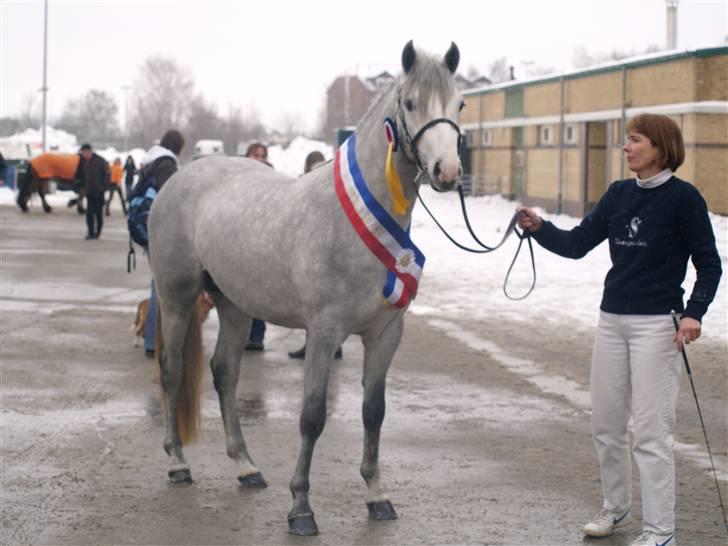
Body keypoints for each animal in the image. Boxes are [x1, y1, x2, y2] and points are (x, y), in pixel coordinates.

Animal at [149, 40, 464, 532]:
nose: (446, 171)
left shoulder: (385, 334)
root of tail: (179, 178)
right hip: (177, 297)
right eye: (411, 103)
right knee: (172, 370)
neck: (358, 218)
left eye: (460, 105)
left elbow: (374, 412)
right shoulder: (323, 332)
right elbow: (312, 416)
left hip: (235, 304)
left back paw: (246, 466)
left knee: (225, 372)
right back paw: (178, 463)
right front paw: (300, 507)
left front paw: (377, 495)